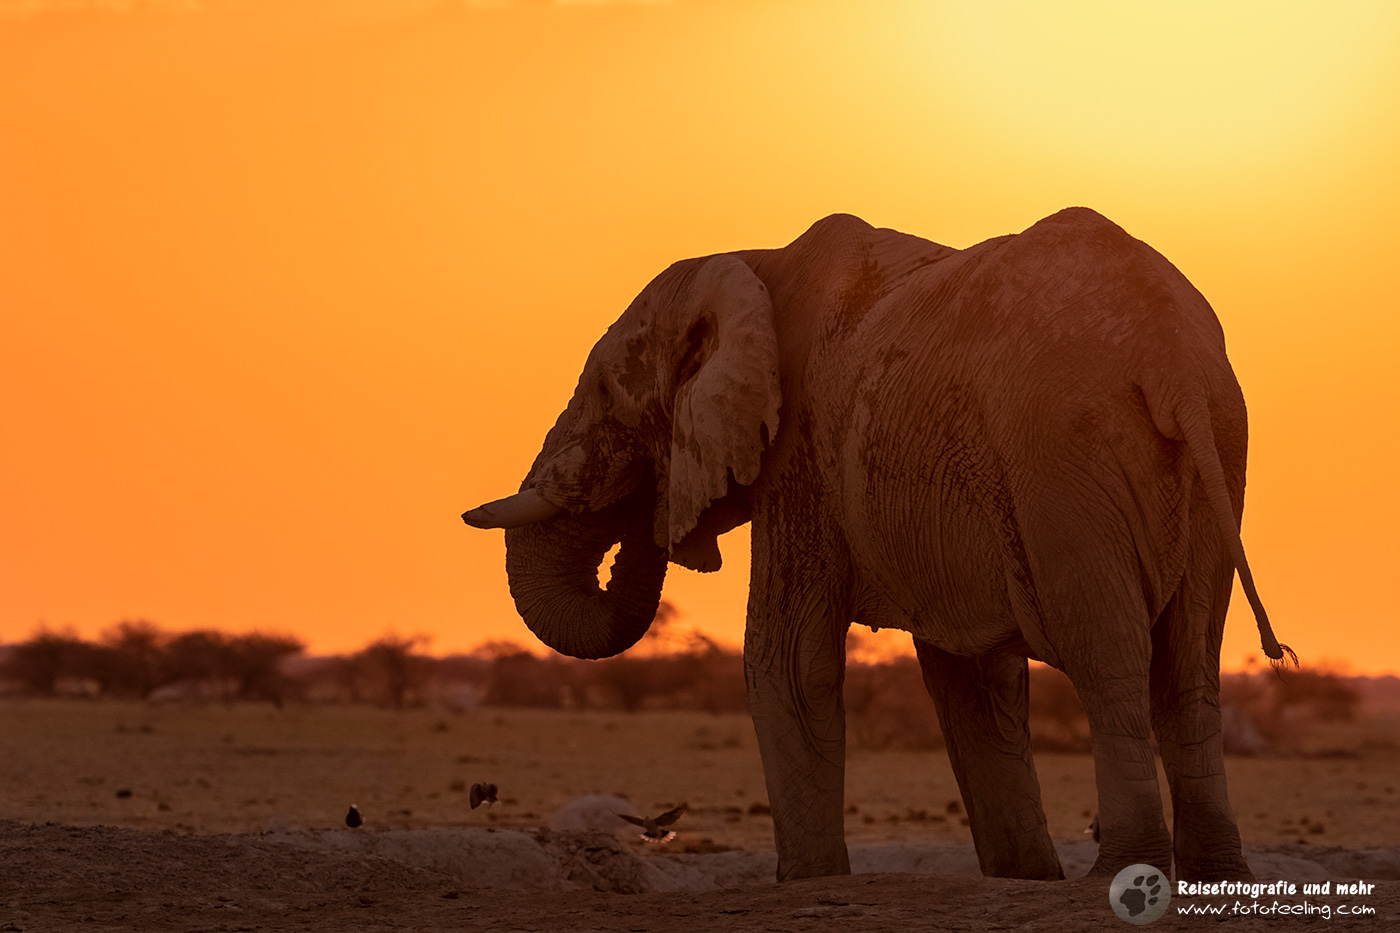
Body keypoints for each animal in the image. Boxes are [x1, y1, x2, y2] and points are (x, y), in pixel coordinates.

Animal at [462, 208, 1290, 883]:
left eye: (608, 394)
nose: (654, 513)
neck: (751, 262)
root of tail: (1169, 360)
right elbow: (972, 681)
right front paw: (1024, 876)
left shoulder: (800, 450)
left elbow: (787, 659)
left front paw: (807, 881)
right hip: (1214, 446)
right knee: (1187, 663)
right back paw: (1215, 875)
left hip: (1062, 458)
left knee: (1108, 656)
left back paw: (1118, 873)